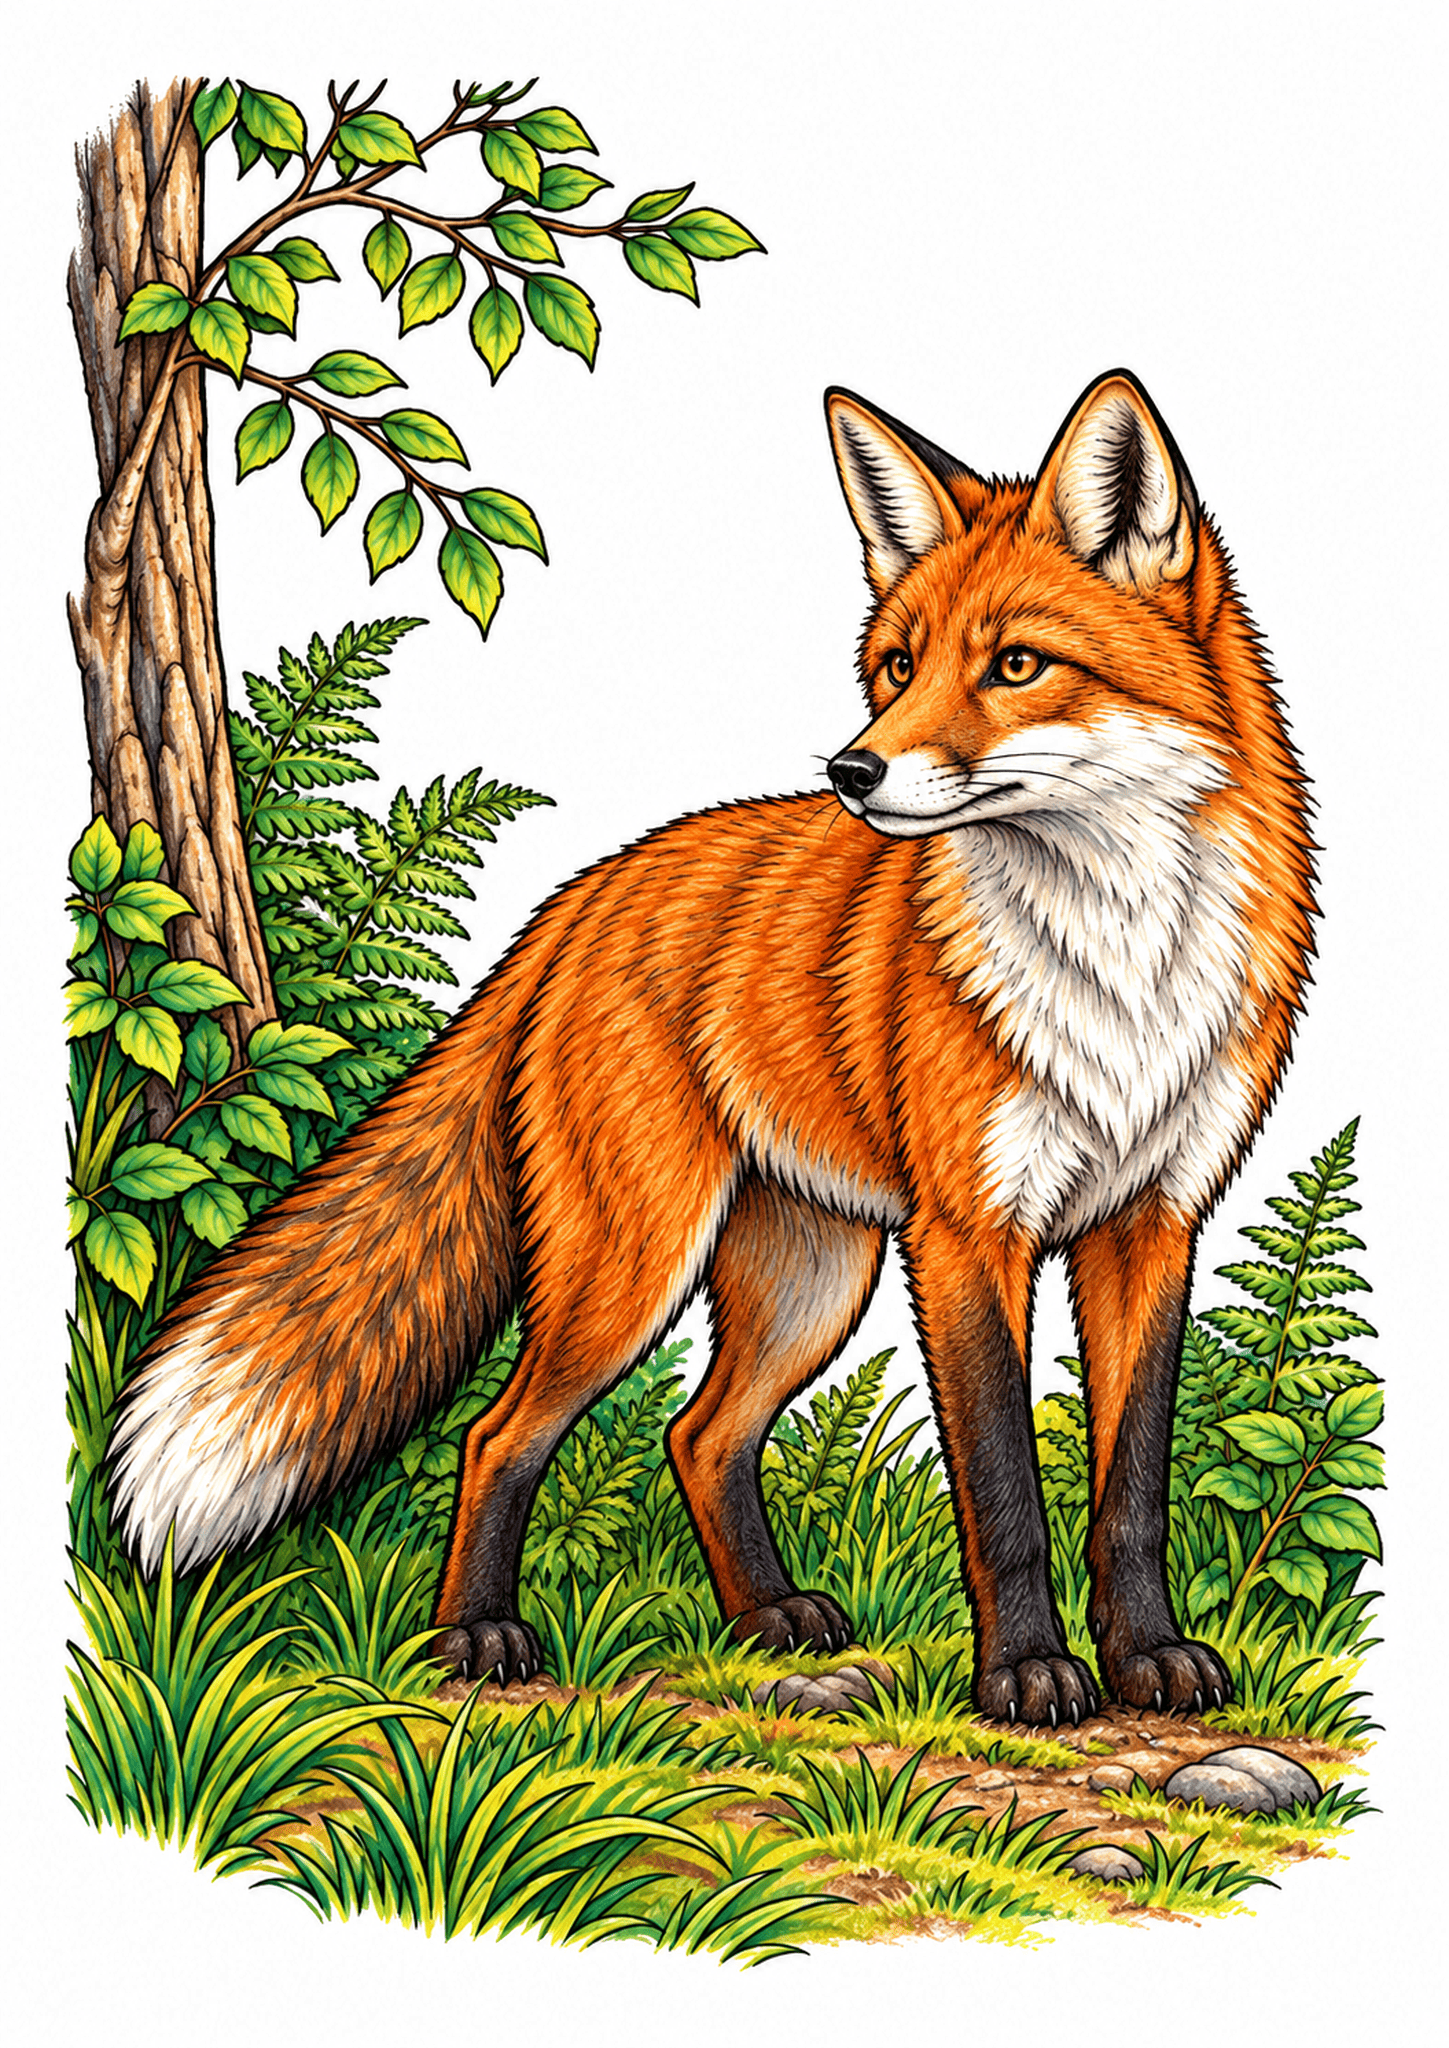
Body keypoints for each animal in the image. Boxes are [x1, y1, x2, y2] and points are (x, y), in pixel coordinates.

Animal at [110, 370, 1314, 1727]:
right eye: (897, 667)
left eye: (1017, 665)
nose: (853, 767)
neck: (1120, 968)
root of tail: (584, 893)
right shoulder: (967, 1233)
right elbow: (1005, 1488)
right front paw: (1025, 1672)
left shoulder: (1153, 1220)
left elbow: (1131, 1491)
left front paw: (1149, 1658)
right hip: (635, 1262)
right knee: (500, 1431)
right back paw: (477, 1633)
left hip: (811, 1273)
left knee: (702, 1434)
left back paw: (766, 1617)